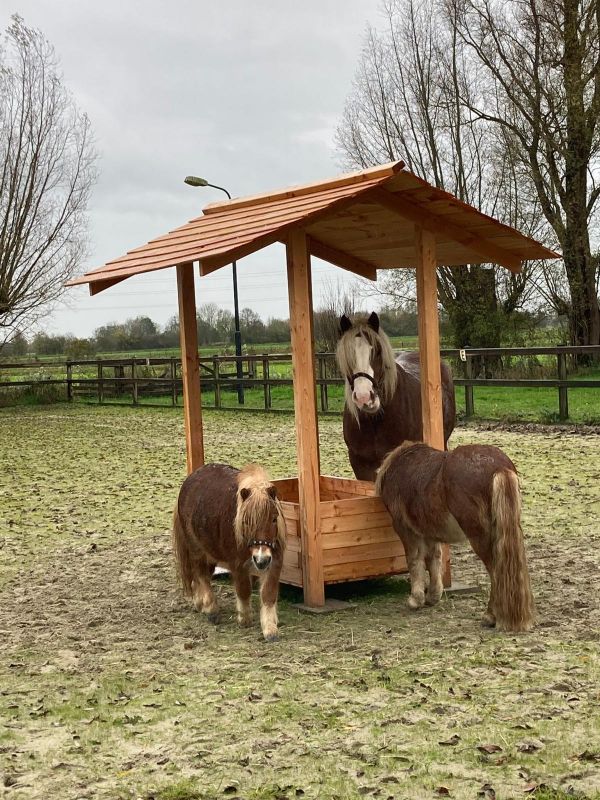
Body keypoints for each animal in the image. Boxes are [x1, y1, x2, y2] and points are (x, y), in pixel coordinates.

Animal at [172, 460, 288, 640]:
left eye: (274, 519)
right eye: (246, 521)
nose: (261, 560)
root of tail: (192, 477)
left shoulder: (275, 562)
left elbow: (268, 595)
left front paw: (270, 629)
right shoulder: (238, 564)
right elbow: (243, 590)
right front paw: (244, 618)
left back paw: (200, 603)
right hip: (196, 549)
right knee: (201, 575)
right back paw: (211, 609)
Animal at [378, 440, 536, 636]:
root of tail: (499, 467)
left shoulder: (405, 529)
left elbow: (414, 560)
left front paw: (415, 600)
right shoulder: (430, 531)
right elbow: (434, 559)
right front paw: (433, 596)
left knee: (495, 571)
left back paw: (490, 616)